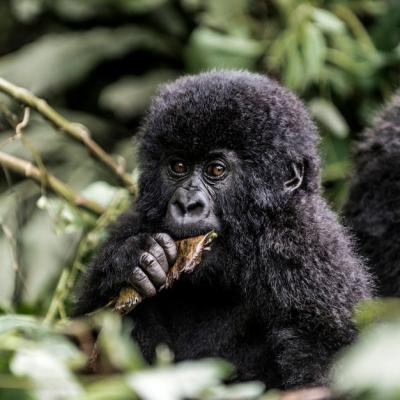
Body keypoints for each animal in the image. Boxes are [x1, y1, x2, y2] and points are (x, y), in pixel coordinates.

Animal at [74, 70, 372, 390]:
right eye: (178, 166)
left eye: (216, 170)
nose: (187, 204)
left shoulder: (308, 252)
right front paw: (130, 261)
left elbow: (327, 362)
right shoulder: (133, 221)